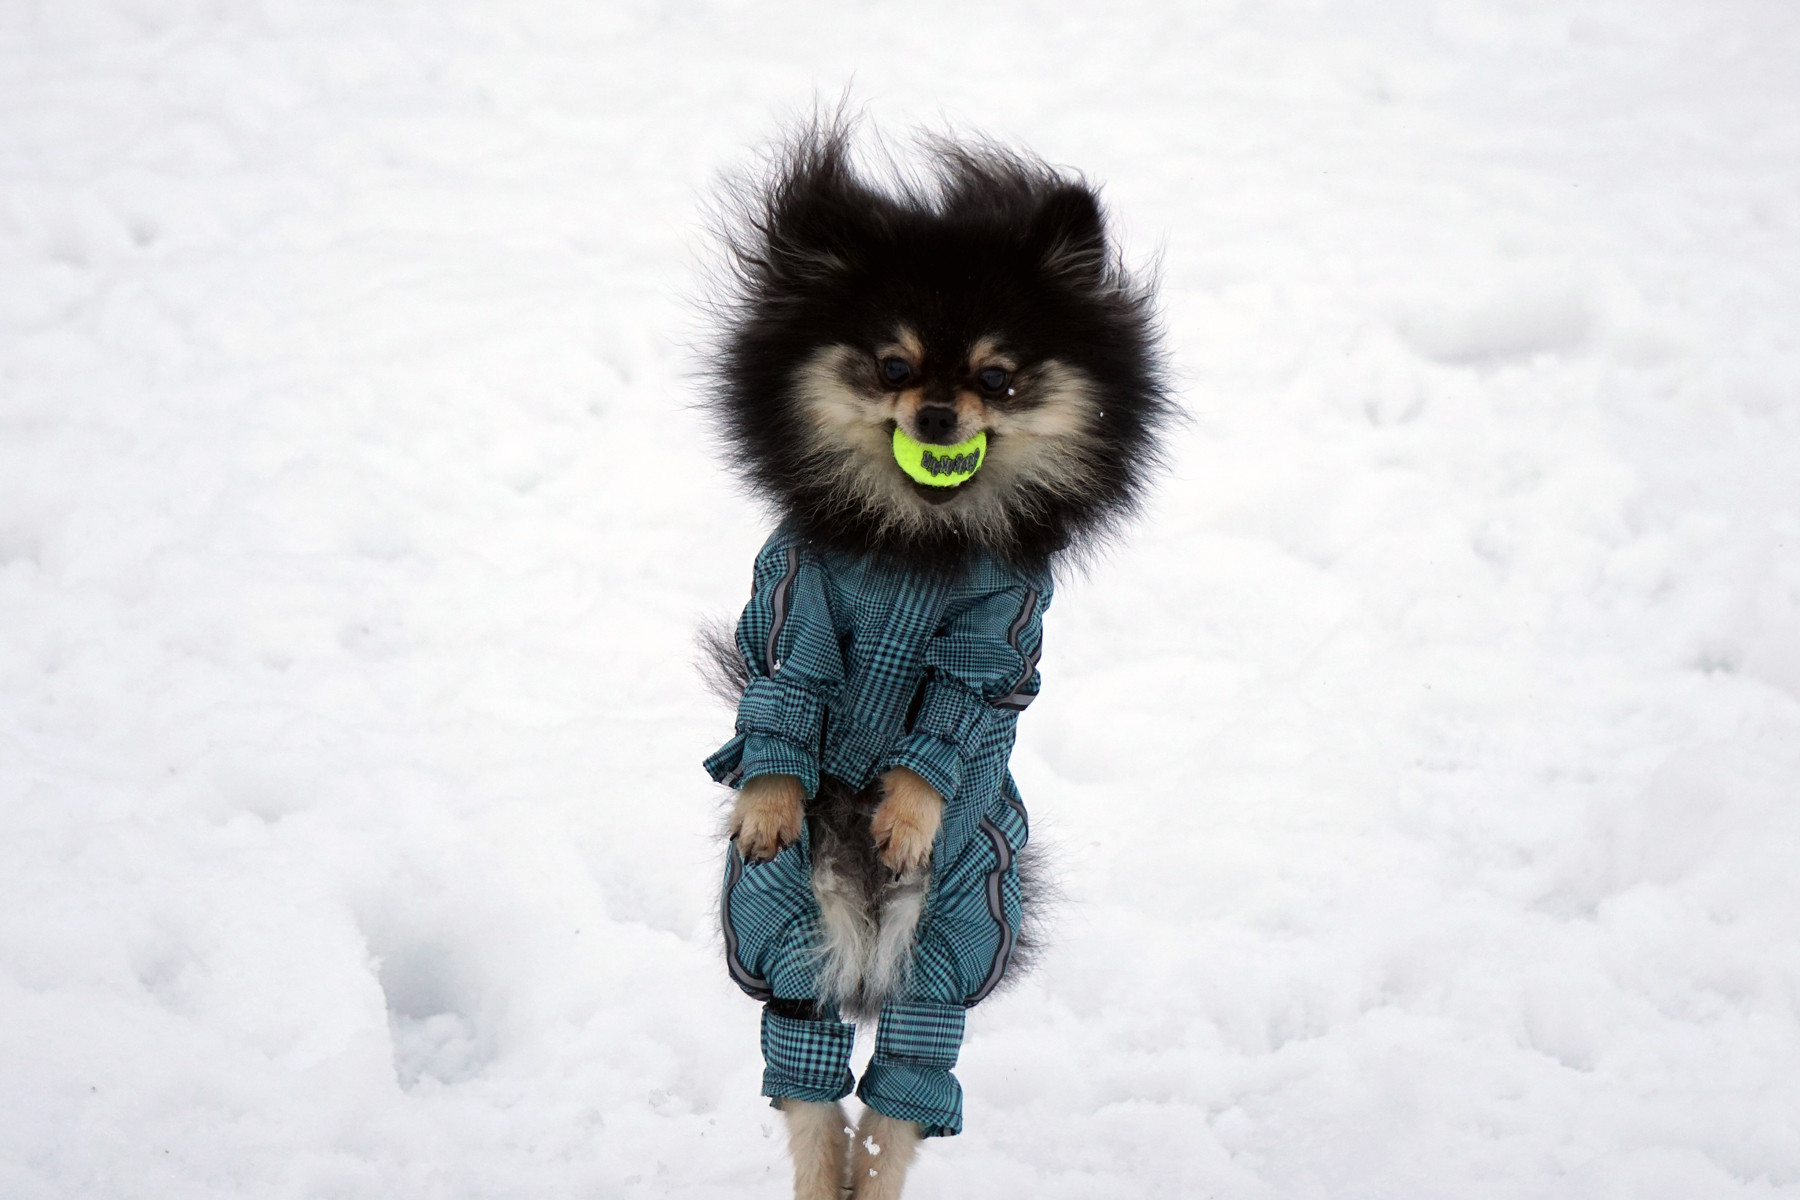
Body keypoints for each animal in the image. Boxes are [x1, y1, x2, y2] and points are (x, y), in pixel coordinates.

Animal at [687, 115, 1166, 1200]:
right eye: (892, 366)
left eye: (997, 377)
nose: (940, 418)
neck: (918, 541)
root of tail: (868, 937)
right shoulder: (787, 603)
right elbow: (782, 698)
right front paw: (769, 806)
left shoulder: (1002, 641)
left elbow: (948, 725)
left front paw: (905, 818)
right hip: (779, 929)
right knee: (810, 1075)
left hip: (959, 934)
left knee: (904, 1088)